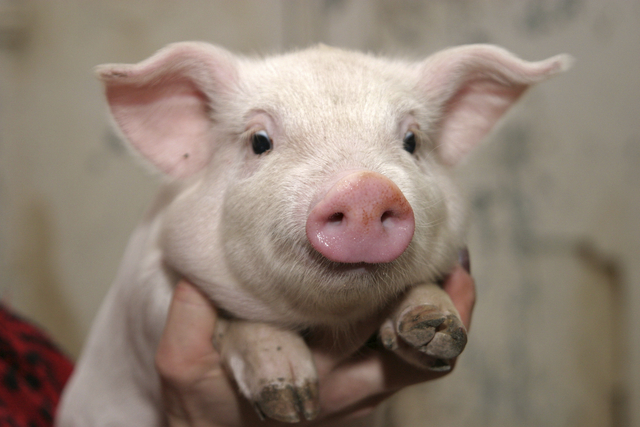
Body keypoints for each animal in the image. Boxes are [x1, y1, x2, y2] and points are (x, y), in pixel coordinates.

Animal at [56, 42, 570, 425]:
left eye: (412, 141)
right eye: (259, 141)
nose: (365, 188)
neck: (328, 322)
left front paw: (434, 330)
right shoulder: (151, 295)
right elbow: (236, 319)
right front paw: (292, 401)